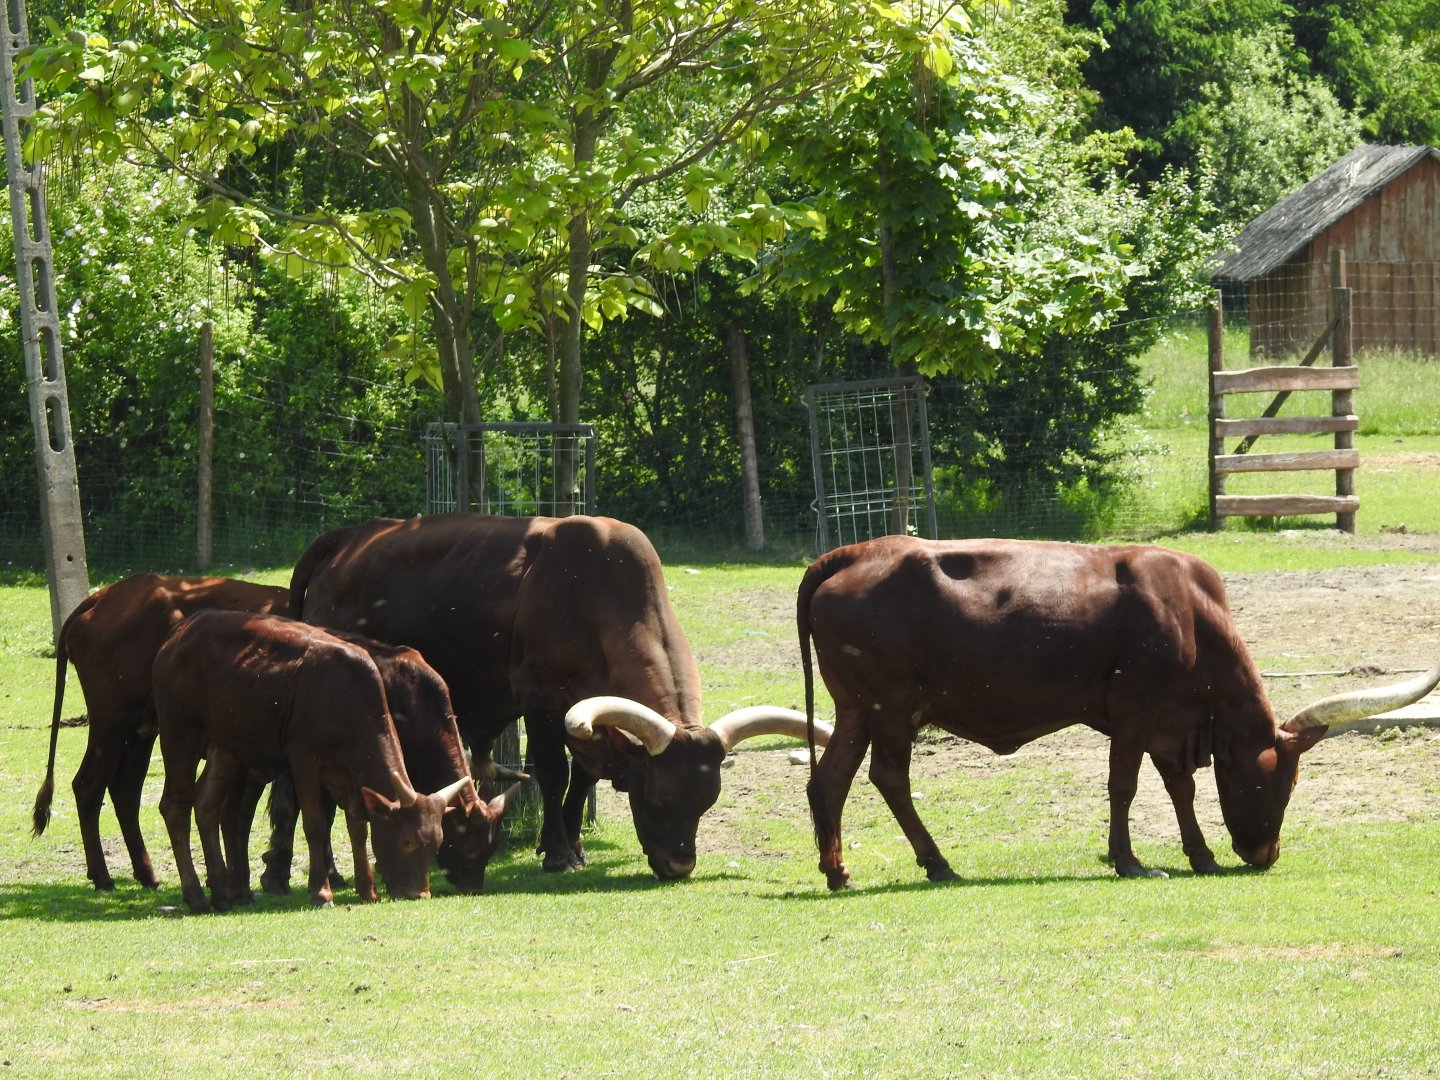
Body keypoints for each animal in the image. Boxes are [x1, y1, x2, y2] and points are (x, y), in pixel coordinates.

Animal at [31, 572, 289, 891]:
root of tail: (104, 596)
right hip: (112, 724)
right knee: (88, 786)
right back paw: (102, 875)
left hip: (140, 731)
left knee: (125, 791)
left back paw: (146, 873)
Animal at [152, 609, 475, 912]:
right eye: (408, 841)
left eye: (436, 843)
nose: (420, 894)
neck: (345, 694)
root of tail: (181, 631)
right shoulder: (303, 759)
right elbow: (316, 824)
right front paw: (321, 892)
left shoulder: (349, 772)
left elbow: (358, 826)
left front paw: (368, 889)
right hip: (179, 731)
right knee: (175, 805)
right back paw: (196, 896)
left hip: (226, 746)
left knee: (207, 805)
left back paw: (221, 893)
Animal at [288, 512, 832, 880]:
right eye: (657, 795)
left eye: (708, 800)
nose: (679, 864)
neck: (595, 590)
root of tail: (345, 539)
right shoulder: (541, 704)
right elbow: (553, 775)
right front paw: (557, 853)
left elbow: (581, 781)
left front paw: (575, 844)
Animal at [797, 536, 1440, 890]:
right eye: (1278, 782)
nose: (1266, 855)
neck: (1191, 613)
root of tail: (852, 554)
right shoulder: (1136, 712)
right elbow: (1124, 785)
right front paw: (1128, 860)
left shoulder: (1171, 724)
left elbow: (1180, 788)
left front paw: (1200, 855)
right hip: (890, 707)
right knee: (889, 778)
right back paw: (938, 864)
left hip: (856, 709)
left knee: (830, 780)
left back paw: (838, 871)